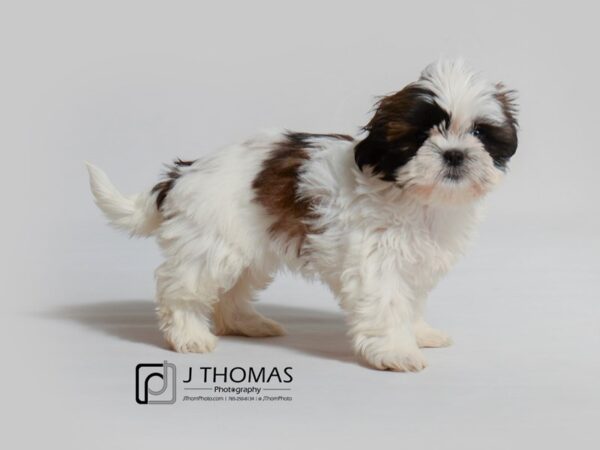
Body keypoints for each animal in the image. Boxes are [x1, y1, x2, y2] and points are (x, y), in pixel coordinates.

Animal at [86, 59, 516, 370]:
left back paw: (245, 323)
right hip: (211, 244)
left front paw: (420, 333)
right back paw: (189, 335)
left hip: (249, 247)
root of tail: (184, 172)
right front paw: (397, 351)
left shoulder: (414, 264)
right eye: (420, 136)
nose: (454, 154)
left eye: (479, 133)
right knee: (180, 290)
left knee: (231, 291)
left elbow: (410, 302)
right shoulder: (374, 262)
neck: (416, 197)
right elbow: (388, 303)